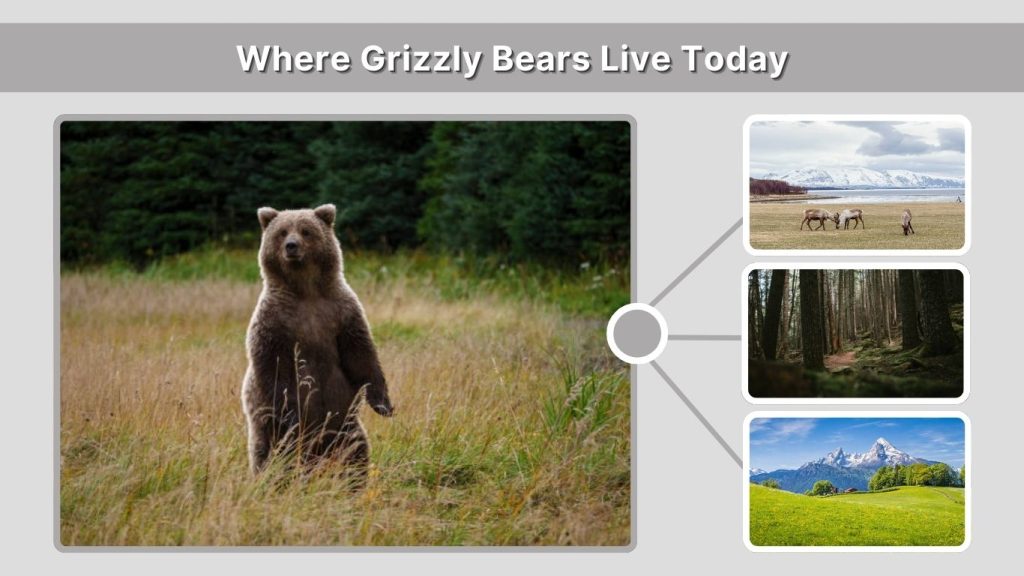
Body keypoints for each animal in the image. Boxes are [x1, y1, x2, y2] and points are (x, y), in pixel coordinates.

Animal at [241, 203, 393, 481]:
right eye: (282, 232)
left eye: (306, 230)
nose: (291, 246)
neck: (306, 291)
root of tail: (316, 452)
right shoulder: (274, 321)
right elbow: (275, 367)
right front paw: (291, 414)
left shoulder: (341, 313)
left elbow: (362, 355)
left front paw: (383, 405)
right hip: (270, 429)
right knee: (271, 456)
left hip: (344, 426)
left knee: (357, 452)